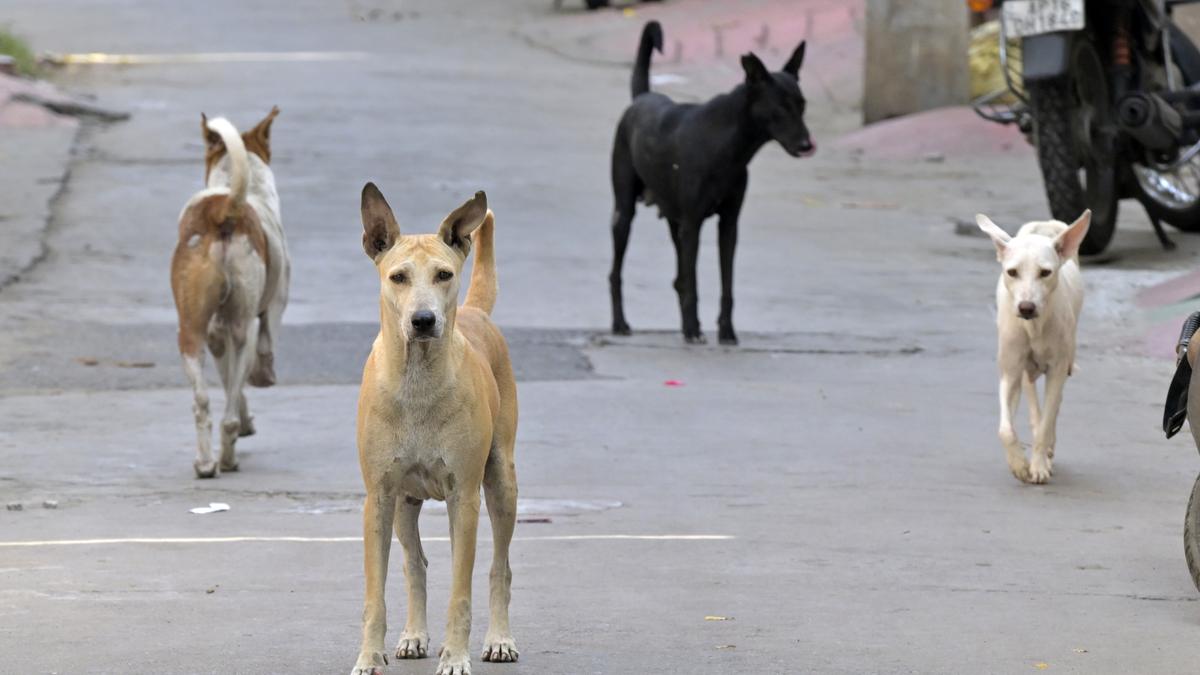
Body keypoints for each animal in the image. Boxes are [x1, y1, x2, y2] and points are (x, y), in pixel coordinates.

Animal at [169, 109, 288, 478]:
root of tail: (223, 211)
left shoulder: (214, 334)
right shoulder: (272, 311)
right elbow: (257, 360)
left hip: (191, 331)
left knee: (203, 402)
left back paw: (207, 462)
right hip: (242, 329)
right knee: (230, 412)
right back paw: (228, 457)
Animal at [348, 182, 516, 672]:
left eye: (443, 274)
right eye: (398, 277)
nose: (423, 320)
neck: (417, 378)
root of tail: (478, 313)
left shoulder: (465, 495)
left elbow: (462, 590)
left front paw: (456, 656)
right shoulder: (379, 497)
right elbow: (376, 593)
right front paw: (369, 656)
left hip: (501, 481)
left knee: (499, 567)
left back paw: (499, 640)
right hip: (406, 503)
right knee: (415, 564)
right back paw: (414, 635)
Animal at [609, 21, 816, 343]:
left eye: (802, 104)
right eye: (780, 108)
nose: (807, 145)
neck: (725, 142)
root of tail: (641, 98)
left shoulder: (728, 225)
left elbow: (725, 284)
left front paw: (725, 330)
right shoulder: (693, 224)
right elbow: (693, 283)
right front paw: (693, 330)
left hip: (674, 222)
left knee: (679, 278)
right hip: (625, 212)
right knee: (617, 271)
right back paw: (621, 323)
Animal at [979, 208, 1094, 478]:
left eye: (1045, 272)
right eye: (1012, 272)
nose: (1026, 307)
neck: (1034, 328)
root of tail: (1044, 226)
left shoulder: (1057, 370)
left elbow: (1046, 422)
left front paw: (1039, 464)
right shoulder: (1010, 371)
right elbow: (1005, 429)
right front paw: (1019, 463)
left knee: (1053, 409)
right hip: (1024, 370)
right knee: (1031, 399)